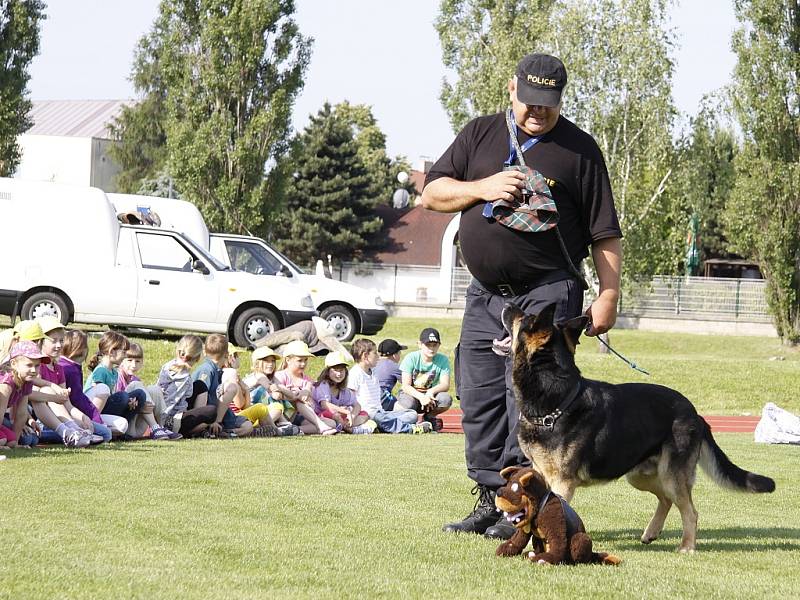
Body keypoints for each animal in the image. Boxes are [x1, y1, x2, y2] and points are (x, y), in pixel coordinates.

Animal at [500, 304, 776, 552]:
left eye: (524, 318)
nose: (506, 304)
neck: (556, 401)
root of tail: (694, 412)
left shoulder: (562, 483)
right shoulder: (540, 475)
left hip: (671, 476)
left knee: (690, 511)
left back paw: (687, 546)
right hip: (641, 476)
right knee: (666, 499)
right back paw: (651, 532)